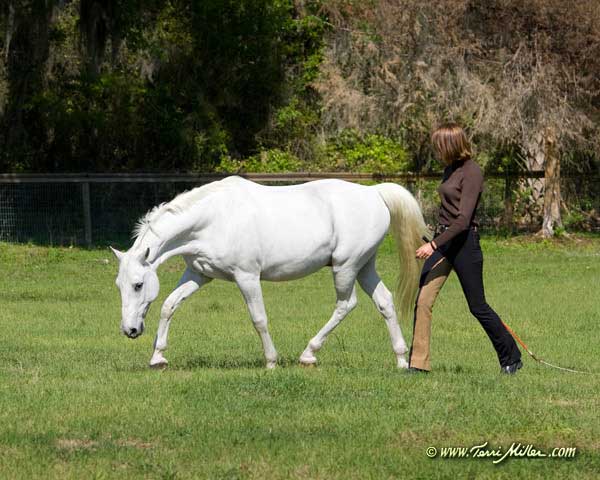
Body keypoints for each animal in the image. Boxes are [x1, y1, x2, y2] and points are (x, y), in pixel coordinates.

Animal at [111, 176, 426, 368]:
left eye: (138, 285)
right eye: (119, 286)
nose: (130, 330)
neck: (213, 218)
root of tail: (374, 192)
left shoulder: (247, 277)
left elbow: (259, 319)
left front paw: (271, 361)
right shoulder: (199, 275)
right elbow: (169, 305)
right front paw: (157, 358)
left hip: (346, 267)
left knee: (346, 304)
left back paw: (308, 354)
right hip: (364, 267)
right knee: (384, 302)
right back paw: (401, 359)